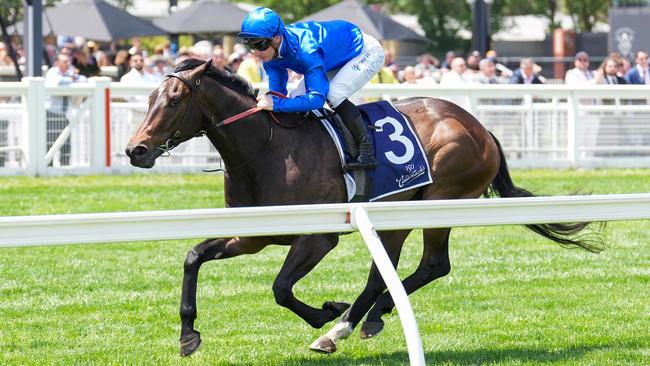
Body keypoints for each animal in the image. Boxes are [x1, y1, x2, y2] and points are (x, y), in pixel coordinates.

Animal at [124, 60, 600, 358]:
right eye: (147, 99)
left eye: (173, 101)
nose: (135, 150)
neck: (269, 148)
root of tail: (480, 127)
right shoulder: (252, 235)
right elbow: (194, 256)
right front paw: (188, 335)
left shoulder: (318, 236)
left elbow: (281, 288)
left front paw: (324, 314)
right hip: (396, 217)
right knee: (392, 273)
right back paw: (365, 319)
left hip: (438, 202)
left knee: (432, 266)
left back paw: (344, 326)